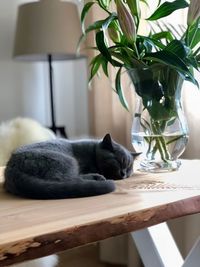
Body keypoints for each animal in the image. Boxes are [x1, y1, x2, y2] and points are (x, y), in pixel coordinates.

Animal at [3, 134, 138, 199]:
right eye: (119, 161)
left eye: (129, 168)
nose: (123, 173)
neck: (93, 153)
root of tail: (12, 168)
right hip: (66, 161)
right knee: (66, 179)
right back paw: (97, 178)